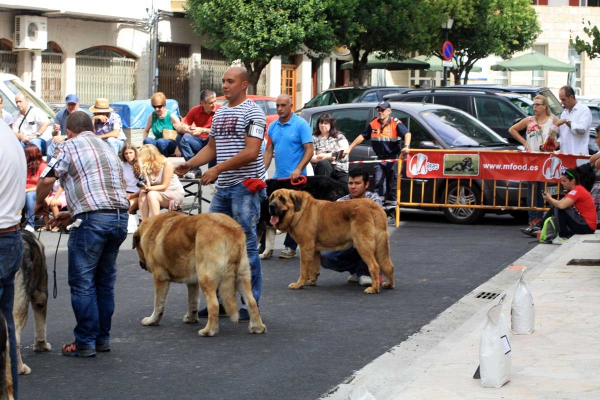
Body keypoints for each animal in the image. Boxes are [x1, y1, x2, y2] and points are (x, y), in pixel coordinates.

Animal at [135, 212, 268, 338]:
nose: (141, 264)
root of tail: (229, 229)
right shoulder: (192, 282)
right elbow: (192, 301)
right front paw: (191, 319)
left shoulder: (160, 278)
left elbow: (158, 304)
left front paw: (152, 320)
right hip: (242, 276)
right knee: (251, 301)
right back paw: (257, 327)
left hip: (206, 277)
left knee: (214, 305)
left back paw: (209, 331)